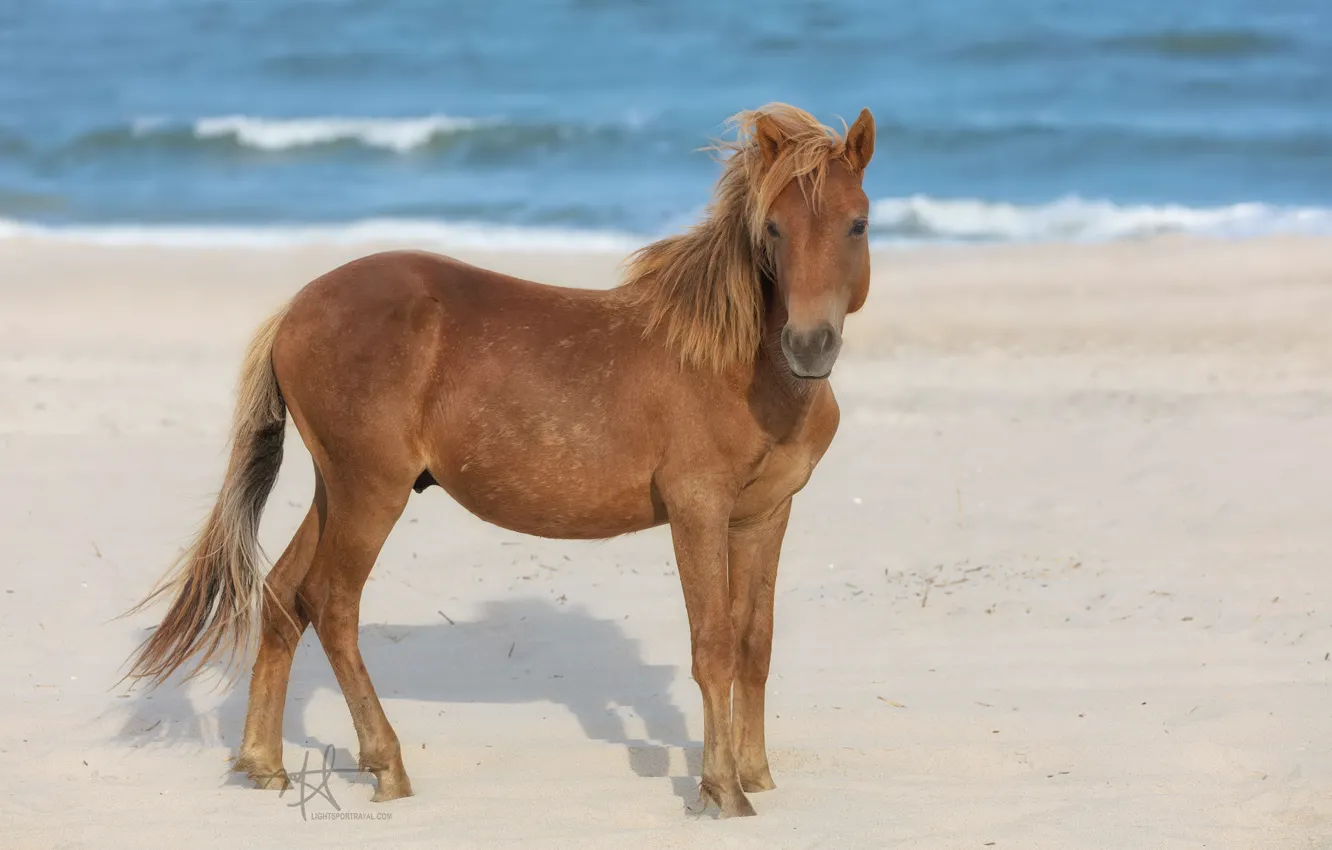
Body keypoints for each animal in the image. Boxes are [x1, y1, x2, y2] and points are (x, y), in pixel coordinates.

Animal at [124, 102, 876, 818]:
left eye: (858, 225)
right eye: (773, 229)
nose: (809, 345)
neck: (735, 364)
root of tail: (297, 309)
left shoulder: (764, 515)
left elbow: (755, 643)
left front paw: (756, 773)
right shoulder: (698, 509)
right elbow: (713, 645)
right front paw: (723, 789)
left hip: (334, 490)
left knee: (282, 596)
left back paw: (265, 764)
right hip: (372, 494)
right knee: (331, 604)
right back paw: (387, 766)